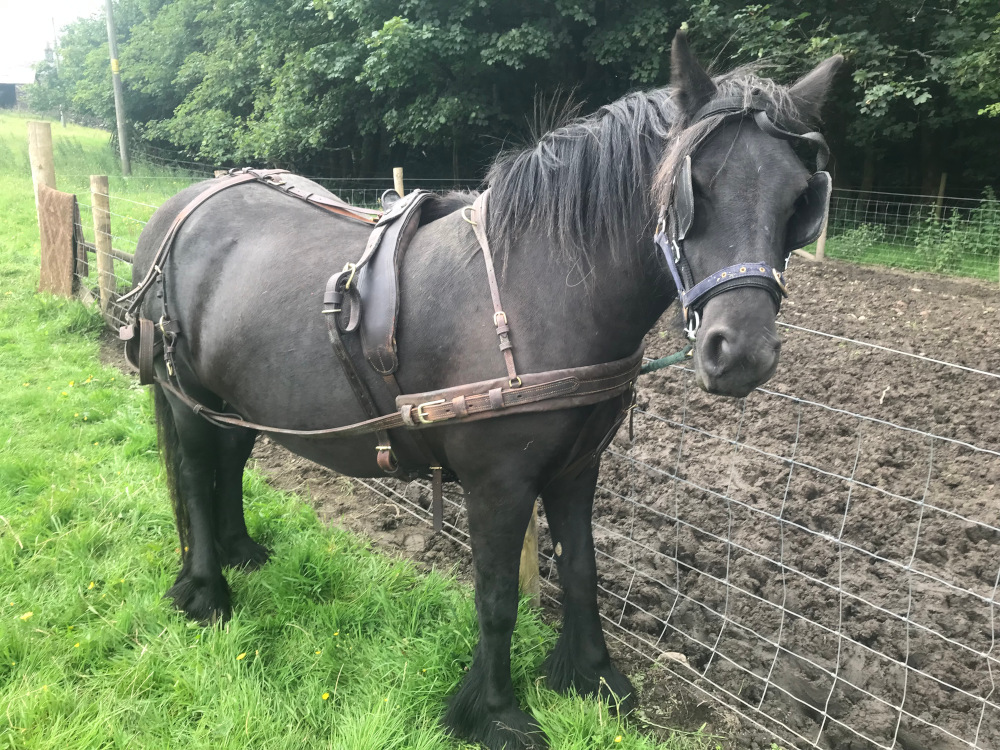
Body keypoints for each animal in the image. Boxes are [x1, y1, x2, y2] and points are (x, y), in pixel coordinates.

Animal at [129, 32, 841, 750]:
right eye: (692, 188)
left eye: (799, 200)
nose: (741, 352)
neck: (538, 289)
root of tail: (181, 207)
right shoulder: (497, 483)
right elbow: (497, 598)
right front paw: (494, 711)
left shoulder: (577, 467)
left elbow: (582, 570)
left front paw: (593, 676)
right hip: (188, 397)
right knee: (195, 475)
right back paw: (206, 590)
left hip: (240, 402)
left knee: (229, 465)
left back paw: (243, 552)